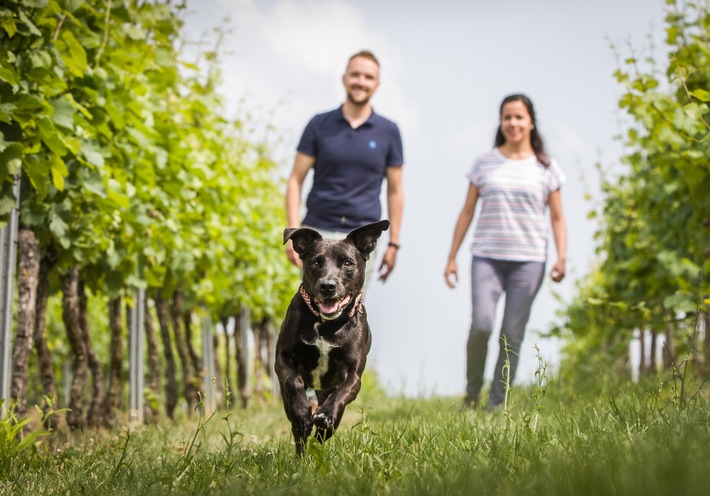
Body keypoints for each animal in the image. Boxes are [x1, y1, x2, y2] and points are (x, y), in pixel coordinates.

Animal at [276, 220, 390, 454]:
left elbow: (342, 391)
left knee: (325, 430)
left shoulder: (353, 373)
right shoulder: (283, 358)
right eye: (315, 263)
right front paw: (302, 411)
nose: (328, 286)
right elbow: (293, 382)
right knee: (298, 431)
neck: (327, 325)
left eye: (347, 263)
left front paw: (325, 415)